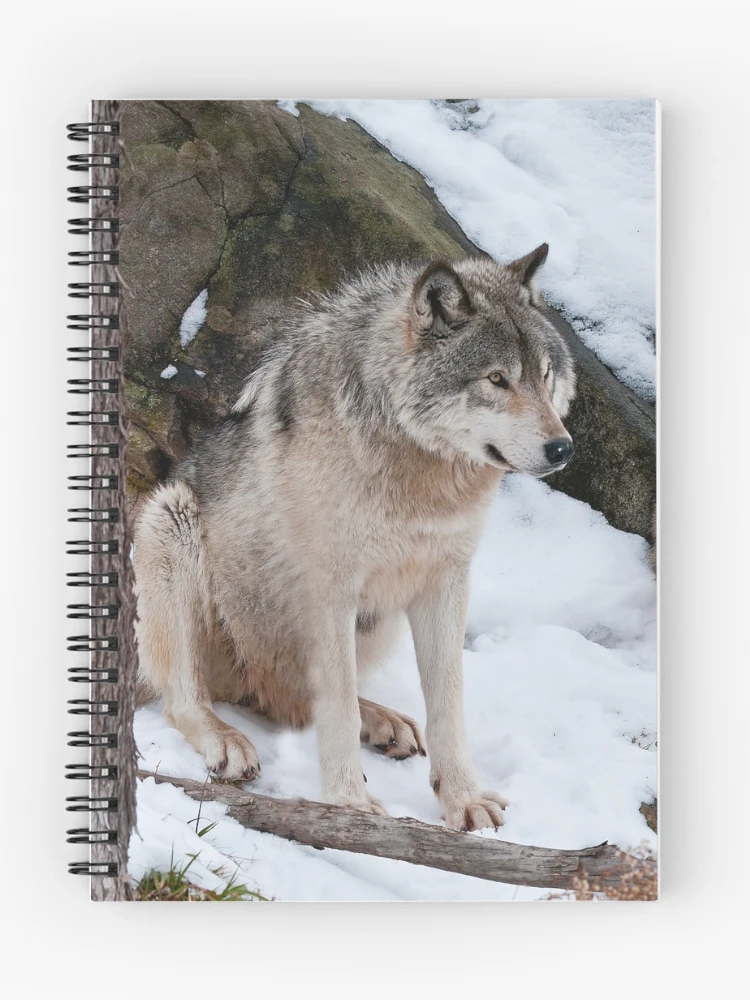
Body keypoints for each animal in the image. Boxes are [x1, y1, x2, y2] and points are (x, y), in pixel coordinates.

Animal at [134, 244, 576, 831]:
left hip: (373, 622)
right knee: (188, 699)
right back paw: (227, 739)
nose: (562, 448)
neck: (420, 478)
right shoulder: (331, 589)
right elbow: (338, 706)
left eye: (545, 377)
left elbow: (448, 701)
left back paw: (385, 721)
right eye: (497, 379)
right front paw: (349, 804)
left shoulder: (446, 581)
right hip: (170, 519)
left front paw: (463, 799)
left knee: (295, 701)